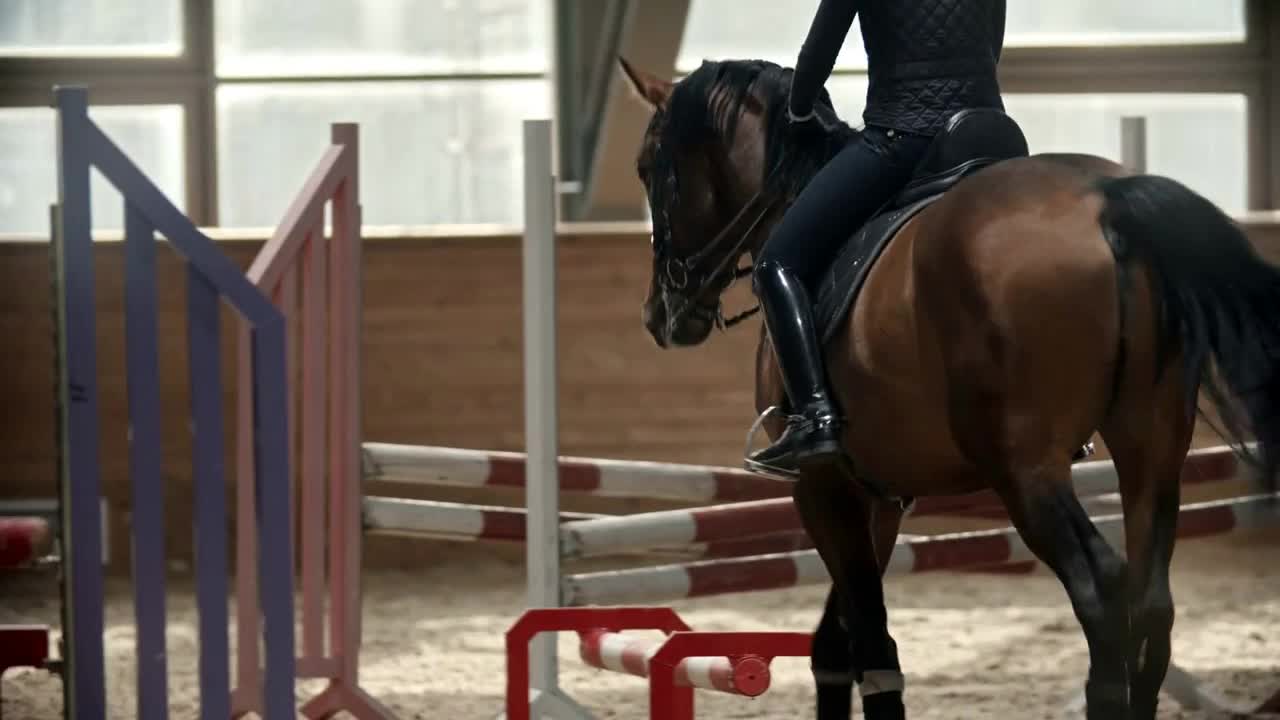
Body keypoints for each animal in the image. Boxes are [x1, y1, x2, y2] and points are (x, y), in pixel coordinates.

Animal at [619, 56, 1280, 717]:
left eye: (649, 168)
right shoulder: (878, 495)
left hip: (1025, 470)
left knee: (1102, 586)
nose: (660, 315)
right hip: (1152, 446)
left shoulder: (821, 486)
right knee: (1151, 601)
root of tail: (1107, 204)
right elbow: (837, 643)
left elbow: (872, 646)